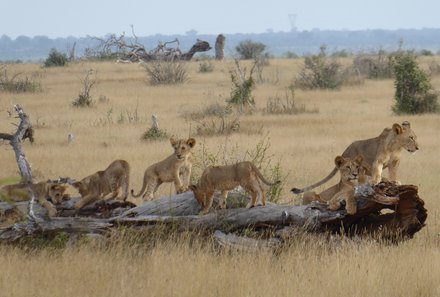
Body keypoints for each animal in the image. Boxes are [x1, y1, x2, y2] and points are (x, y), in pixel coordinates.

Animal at [292, 121, 420, 193]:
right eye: (411, 138)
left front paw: (394, 181)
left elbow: (393, 173)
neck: (396, 147)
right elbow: (377, 171)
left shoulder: (395, 162)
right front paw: (375, 181)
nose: (418, 148)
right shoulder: (377, 160)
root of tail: (344, 152)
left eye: (415, 137)